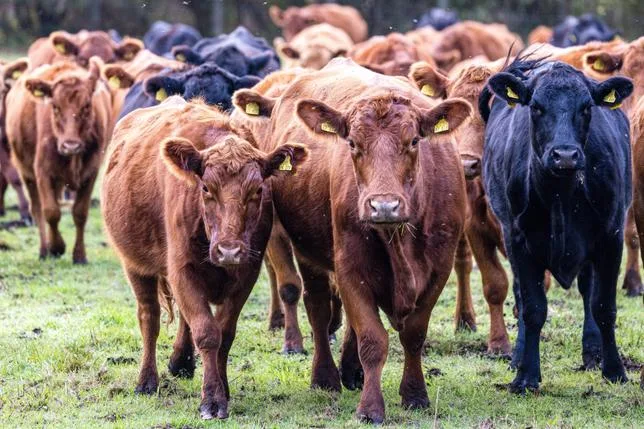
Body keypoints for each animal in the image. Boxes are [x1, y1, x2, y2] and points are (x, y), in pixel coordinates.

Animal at [5, 58, 113, 263]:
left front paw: (79, 256)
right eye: (55, 106)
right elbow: (51, 211)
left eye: (86, 106)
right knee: (37, 209)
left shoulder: (91, 173)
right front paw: (56, 247)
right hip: (27, 174)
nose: (70, 145)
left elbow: (80, 212)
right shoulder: (42, 172)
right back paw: (43, 250)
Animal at [102, 96, 308, 419]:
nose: (229, 250)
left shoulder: (246, 273)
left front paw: (222, 389)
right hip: (135, 265)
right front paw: (212, 399)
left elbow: (223, 333)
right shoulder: (182, 269)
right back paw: (147, 381)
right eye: (206, 188)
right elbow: (207, 333)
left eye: (257, 190)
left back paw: (181, 362)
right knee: (149, 317)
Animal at [233, 58, 472, 422]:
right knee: (318, 308)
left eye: (414, 142)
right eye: (353, 144)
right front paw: (370, 408)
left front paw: (415, 394)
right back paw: (326, 377)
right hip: (308, 253)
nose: (383, 205)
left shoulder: (438, 269)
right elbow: (372, 339)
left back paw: (351, 371)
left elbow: (414, 334)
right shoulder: (350, 266)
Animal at [479, 57, 633, 391]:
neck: (563, 195)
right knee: (521, 297)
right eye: (536, 106)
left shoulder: (611, 236)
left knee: (588, 291)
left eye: (587, 107)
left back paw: (592, 353)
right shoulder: (519, 241)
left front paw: (614, 370)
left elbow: (604, 306)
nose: (565, 155)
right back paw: (518, 357)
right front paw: (526, 376)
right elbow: (533, 308)